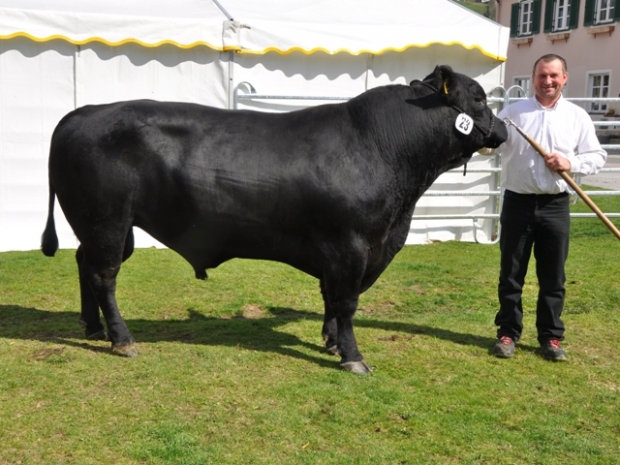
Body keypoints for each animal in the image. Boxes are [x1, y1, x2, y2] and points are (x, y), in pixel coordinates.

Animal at [41, 65, 506, 372]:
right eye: (480, 98)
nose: (503, 131)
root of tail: (83, 112)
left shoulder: (339, 252)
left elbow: (330, 299)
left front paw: (331, 342)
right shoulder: (352, 245)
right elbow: (347, 302)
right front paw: (353, 357)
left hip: (98, 225)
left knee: (83, 263)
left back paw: (93, 328)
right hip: (107, 221)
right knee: (103, 274)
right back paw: (121, 339)